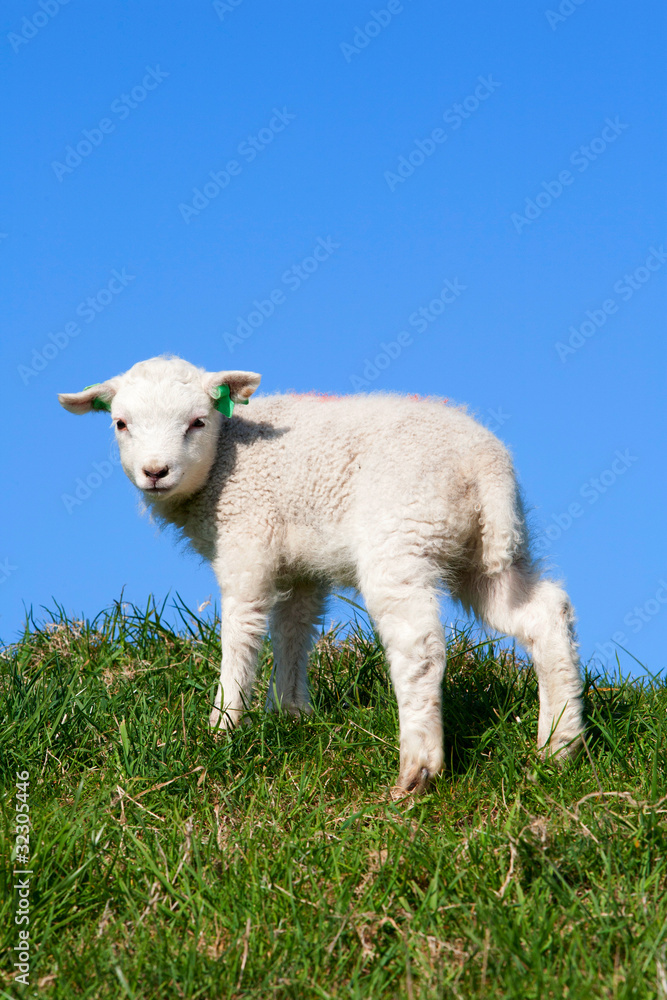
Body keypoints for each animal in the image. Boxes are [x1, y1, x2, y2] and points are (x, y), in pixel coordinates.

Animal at [59, 355, 584, 793]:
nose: (155, 471)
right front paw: (291, 714)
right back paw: (559, 744)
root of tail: (487, 466)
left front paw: (224, 725)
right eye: (121, 423)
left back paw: (417, 769)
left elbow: (242, 632)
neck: (226, 457)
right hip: (481, 552)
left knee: (420, 647)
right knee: (544, 613)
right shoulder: (300, 567)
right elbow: (294, 630)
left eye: (197, 422)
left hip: (402, 537)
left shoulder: (247, 542)